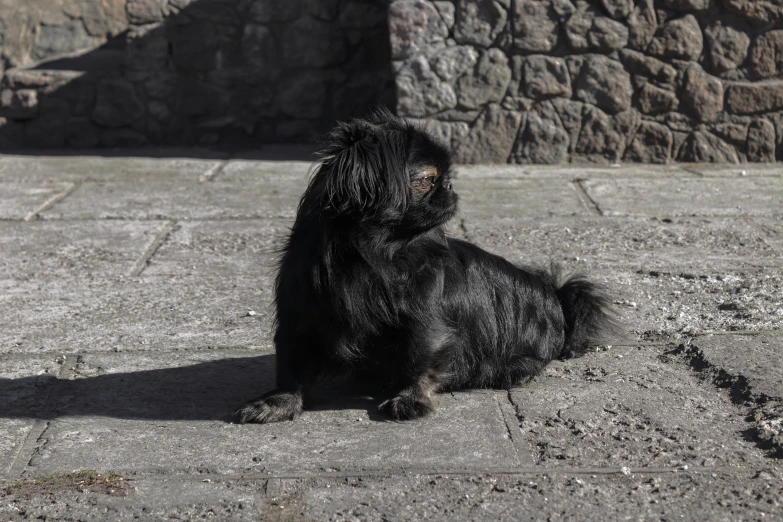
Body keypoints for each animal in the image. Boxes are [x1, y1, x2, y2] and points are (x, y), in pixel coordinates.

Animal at [236, 110, 616, 422]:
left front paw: (410, 398)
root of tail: (555, 296)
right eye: (427, 179)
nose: (450, 185)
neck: (373, 254)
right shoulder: (300, 312)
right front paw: (276, 403)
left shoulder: (423, 320)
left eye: (444, 178)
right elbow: (291, 365)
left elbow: (419, 358)